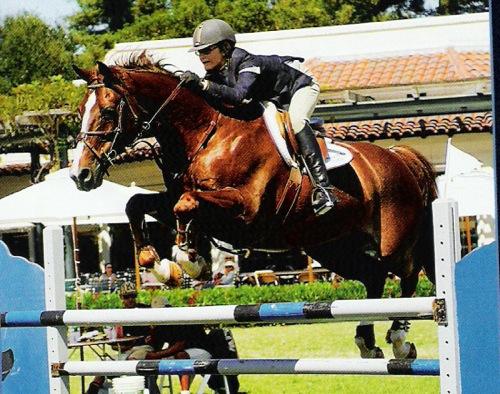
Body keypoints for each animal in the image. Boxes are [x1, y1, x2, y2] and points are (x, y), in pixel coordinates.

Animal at [70, 56, 438, 360]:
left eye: (107, 112)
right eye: (79, 113)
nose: (80, 175)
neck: (206, 134)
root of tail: (400, 157)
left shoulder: (247, 212)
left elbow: (185, 205)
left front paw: (188, 261)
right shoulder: (182, 200)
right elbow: (139, 203)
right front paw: (159, 264)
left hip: (392, 242)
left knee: (407, 275)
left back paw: (399, 339)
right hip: (334, 247)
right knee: (373, 277)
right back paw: (367, 340)